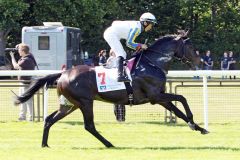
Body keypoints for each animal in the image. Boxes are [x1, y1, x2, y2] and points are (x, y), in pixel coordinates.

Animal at [14, 33, 208, 148]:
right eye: (191, 47)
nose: (201, 62)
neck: (152, 64)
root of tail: (63, 73)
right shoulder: (155, 96)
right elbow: (182, 98)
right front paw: (193, 122)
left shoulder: (159, 98)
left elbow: (178, 109)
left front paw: (198, 127)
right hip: (85, 102)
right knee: (89, 126)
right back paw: (109, 144)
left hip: (70, 104)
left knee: (49, 119)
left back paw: (44, 144)